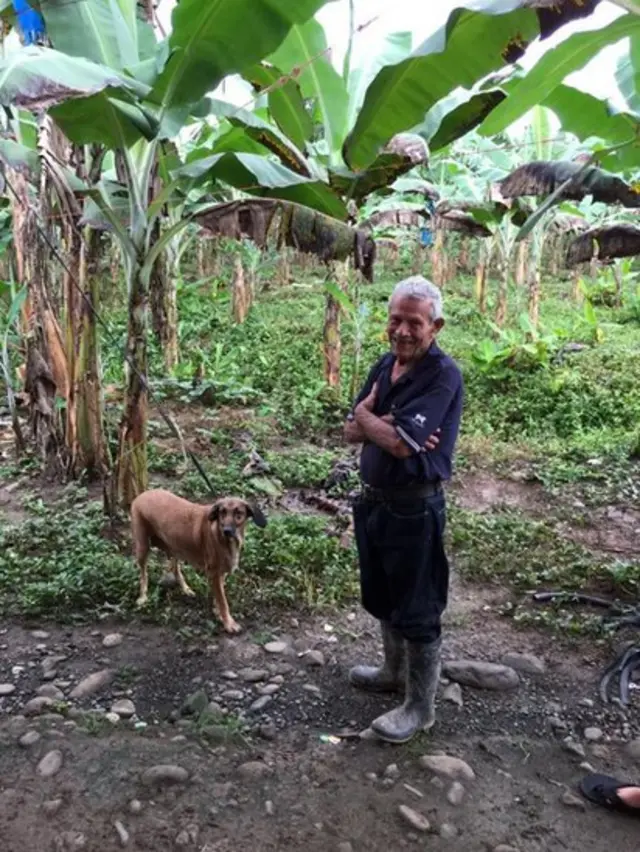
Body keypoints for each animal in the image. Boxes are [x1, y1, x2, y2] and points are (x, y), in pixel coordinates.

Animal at [131, 492, 266, 632]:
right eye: (222, 512)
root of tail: (143, 494)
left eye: (238, 513)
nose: (227, 531)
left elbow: (219, 598)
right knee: (144, 574)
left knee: (174, 568)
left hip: (175, 547)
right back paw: (143, 597)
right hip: (143, 547)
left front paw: (218, 613)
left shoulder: (220, 574)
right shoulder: (214, 573)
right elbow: (223, 601)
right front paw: (228, 622)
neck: (222, 538)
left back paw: (186, 589)